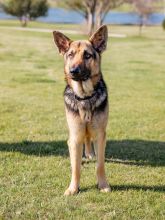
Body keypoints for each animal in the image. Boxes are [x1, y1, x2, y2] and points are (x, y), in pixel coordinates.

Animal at [52, 25, 110, 196]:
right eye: (70, 55)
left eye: (87, 55)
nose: (73, 71)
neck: (85, 97)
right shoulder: (75, 137)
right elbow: (76, 168)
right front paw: (73, 188)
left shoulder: (100, 135)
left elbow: (100, 165)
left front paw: (103, 185)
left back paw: (90, 153)